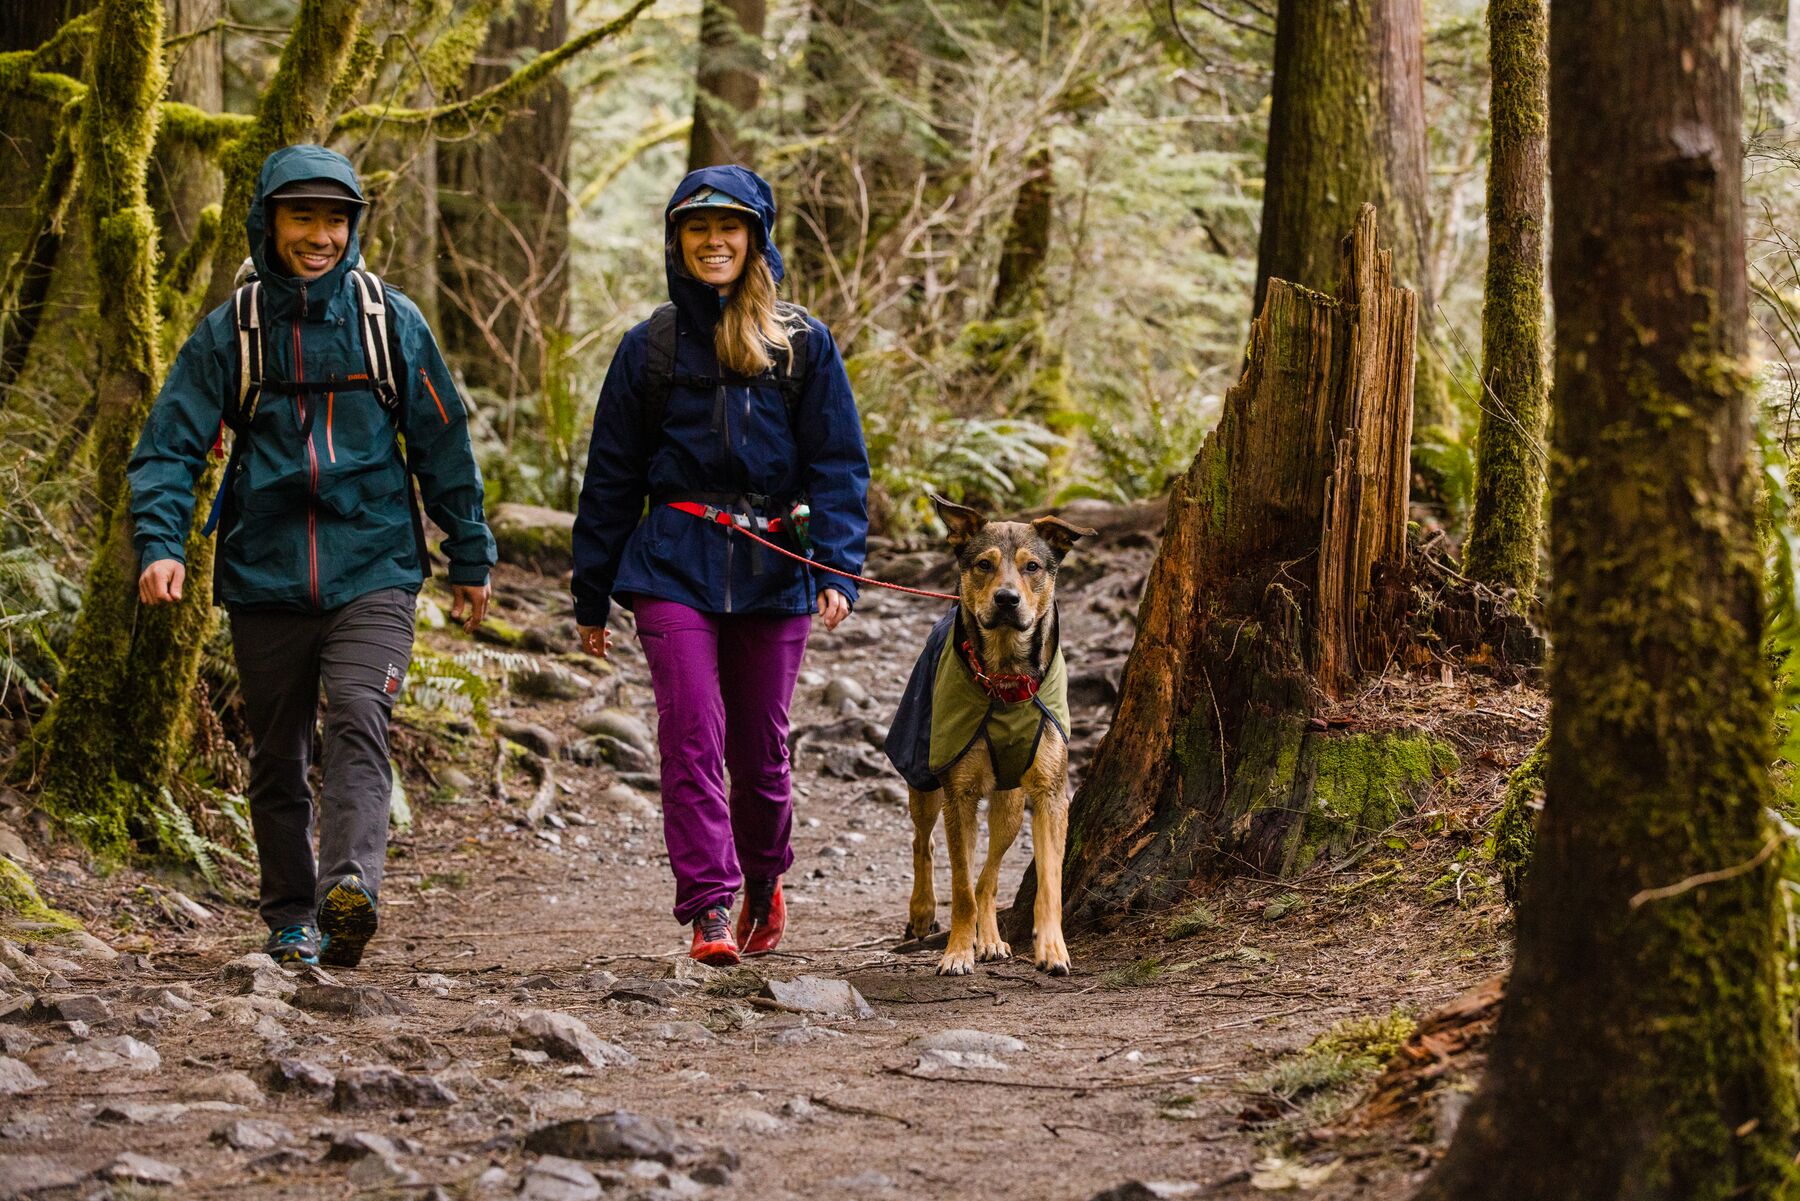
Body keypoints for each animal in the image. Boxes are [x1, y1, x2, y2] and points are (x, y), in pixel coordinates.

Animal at [885, 496, 1094, 979]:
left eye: (1032, 566)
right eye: (984, 565)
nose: (1006, 598)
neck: (1005, 679)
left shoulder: (1051, 793)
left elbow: (1047, 882)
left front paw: (1051, 948)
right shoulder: (958, 793)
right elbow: (960, 886)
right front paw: (957, 951)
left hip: (1010, 804)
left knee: (991, 872)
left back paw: (993, 939)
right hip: (924, 782)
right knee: (922, 840)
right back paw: (922, 911)